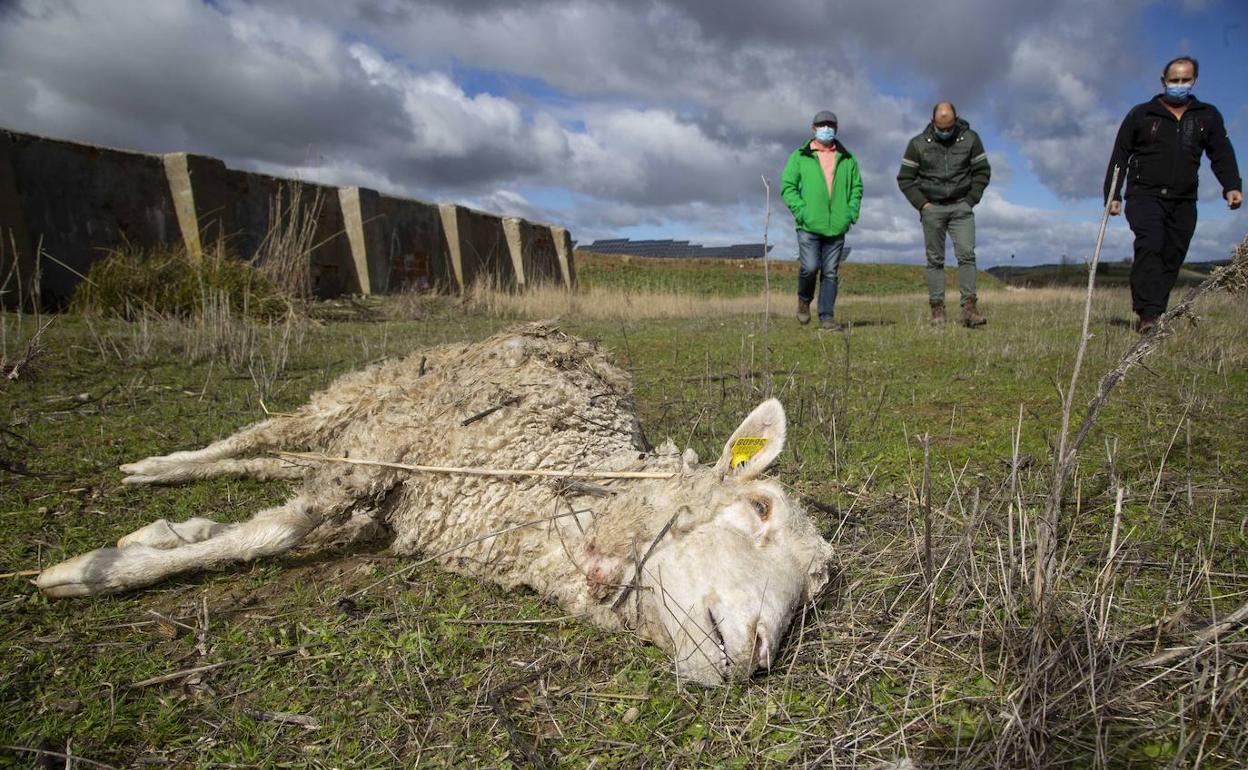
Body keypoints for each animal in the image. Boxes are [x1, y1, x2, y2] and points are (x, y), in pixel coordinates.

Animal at [39, 321, 833, 683]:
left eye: (815, 588)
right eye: (760, 509)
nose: (759, 654)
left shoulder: (391, 496)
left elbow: (276, 522)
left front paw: (161, 539)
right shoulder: (384, 457)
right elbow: (275, 533)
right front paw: (95, 572)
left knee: (269, 458)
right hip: (353, 402)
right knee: (252, 436)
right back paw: (155, 468)